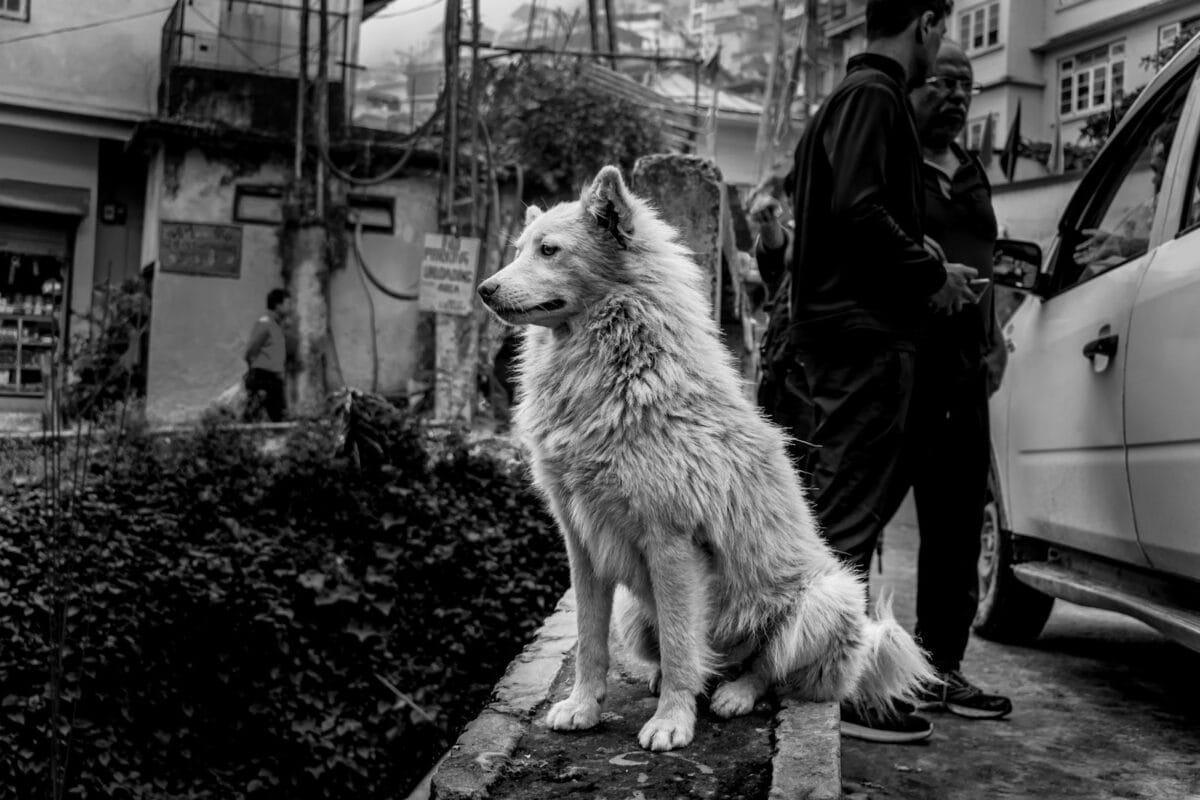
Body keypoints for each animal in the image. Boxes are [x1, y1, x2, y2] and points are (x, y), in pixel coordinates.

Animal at [476, 166, 934, 752]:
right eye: (518, 250)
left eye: (549, 250)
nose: (485, 289)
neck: (617, 373)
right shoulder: (581, 542)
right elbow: (589, 641)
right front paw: (583, 707)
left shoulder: (671, 542)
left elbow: (679, 645)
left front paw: (673, 721)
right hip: (635, 611)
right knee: (700, 659)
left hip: (825, 598)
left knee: (768, 670)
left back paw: (731, 693)